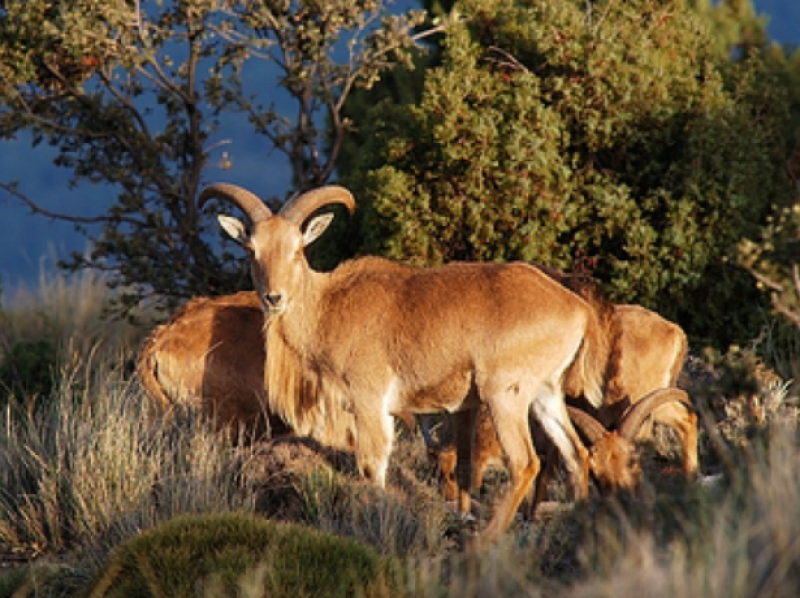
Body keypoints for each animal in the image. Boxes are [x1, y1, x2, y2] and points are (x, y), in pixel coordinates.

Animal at [198, 182, 622, 542]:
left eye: (297, 250)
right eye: (252, 251)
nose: (274, 297)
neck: (327, 306)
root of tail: (577, 309)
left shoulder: (368, 398)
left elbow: (372, 463)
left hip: (505, 393)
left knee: (526, 463)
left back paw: (486, 540)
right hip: (546, 392)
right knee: (576, 454)